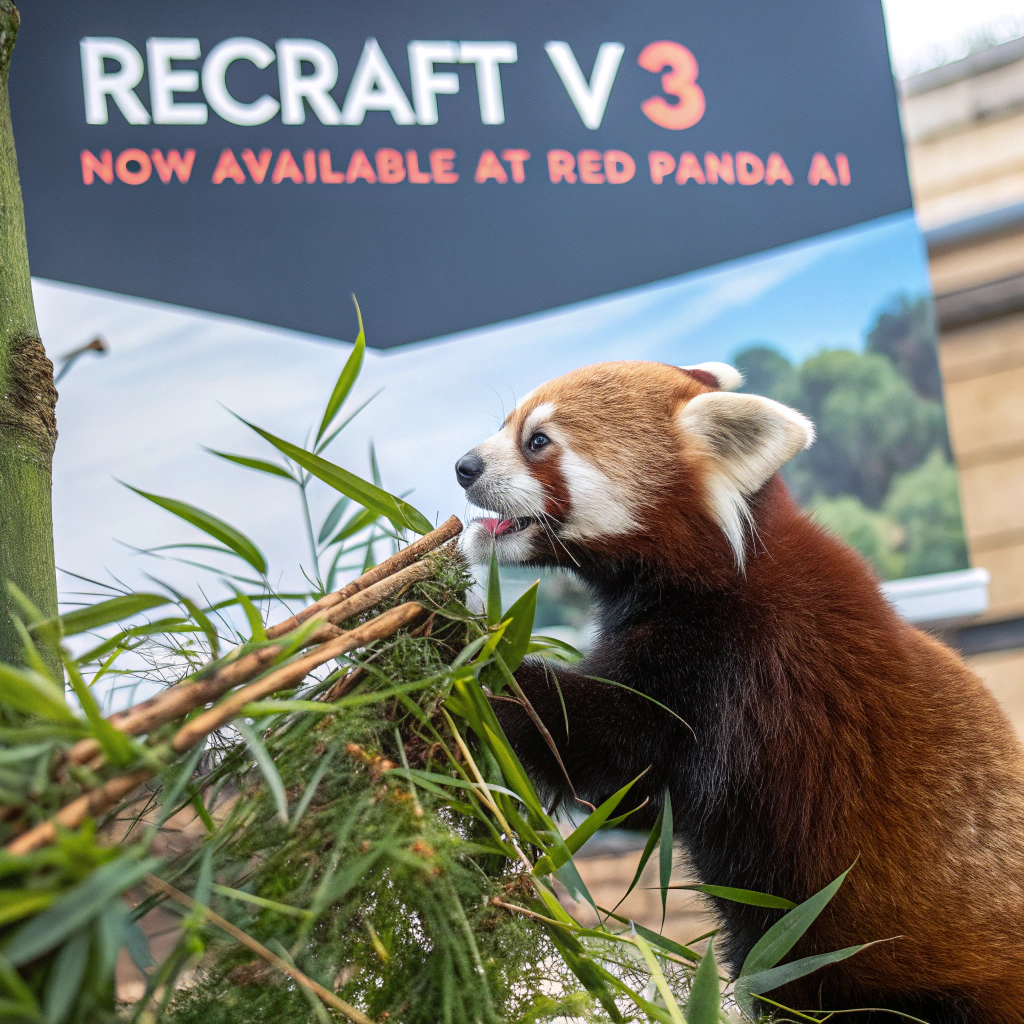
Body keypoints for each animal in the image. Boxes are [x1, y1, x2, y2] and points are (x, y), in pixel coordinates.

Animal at [454, 359, 1024, 1024]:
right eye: (505, 424)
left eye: (538, 441)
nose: (464, 466)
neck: (722, 571)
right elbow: (629, 798)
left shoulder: (736, 674)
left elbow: (602, 746)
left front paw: (452, 652)